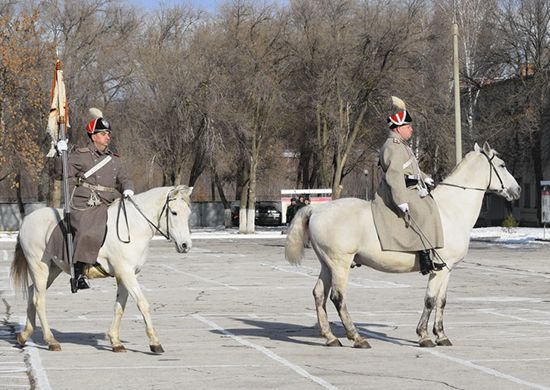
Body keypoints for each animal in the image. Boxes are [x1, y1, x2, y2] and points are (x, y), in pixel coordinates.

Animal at [10, 186, 194, 354]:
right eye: (174, 212)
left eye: (188, 213)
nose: (186, 245)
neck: (132, 227)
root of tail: (27, 220)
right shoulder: (126, 273)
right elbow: (143, 304)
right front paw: (155, 343)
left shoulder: (124, 275)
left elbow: (119, 307)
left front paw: (115, 341)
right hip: (39, 267)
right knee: (39, 300)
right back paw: (50, 340)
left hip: (53, 269)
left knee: (32, 293)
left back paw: (24, 335)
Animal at [286, 142, 524, 348]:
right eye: (502, 165)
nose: (518, 190)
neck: (451, 210)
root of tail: (317, 209)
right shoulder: (440, 268)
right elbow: (430, 300)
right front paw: (424, 336)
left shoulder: (448, 269)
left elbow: (441, 301)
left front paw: (441, 335)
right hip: (340, 264)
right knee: (338, 297)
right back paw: (357, 338)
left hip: (327, 264)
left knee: (319, 294)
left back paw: (330, 337)